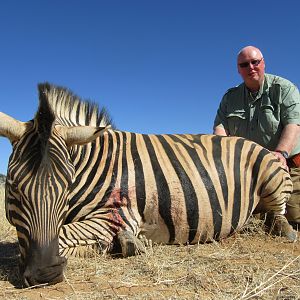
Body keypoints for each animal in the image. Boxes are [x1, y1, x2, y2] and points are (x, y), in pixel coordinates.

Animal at [0, 82, 296, 286]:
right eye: (13, 187)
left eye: (67, 185)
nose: (45, 273)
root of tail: (249, 141)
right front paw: (125, 244)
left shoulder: (115, 215)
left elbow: (62, 235)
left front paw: (120, 244)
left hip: (271, 176)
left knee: (278, 212)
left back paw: (283, 229)